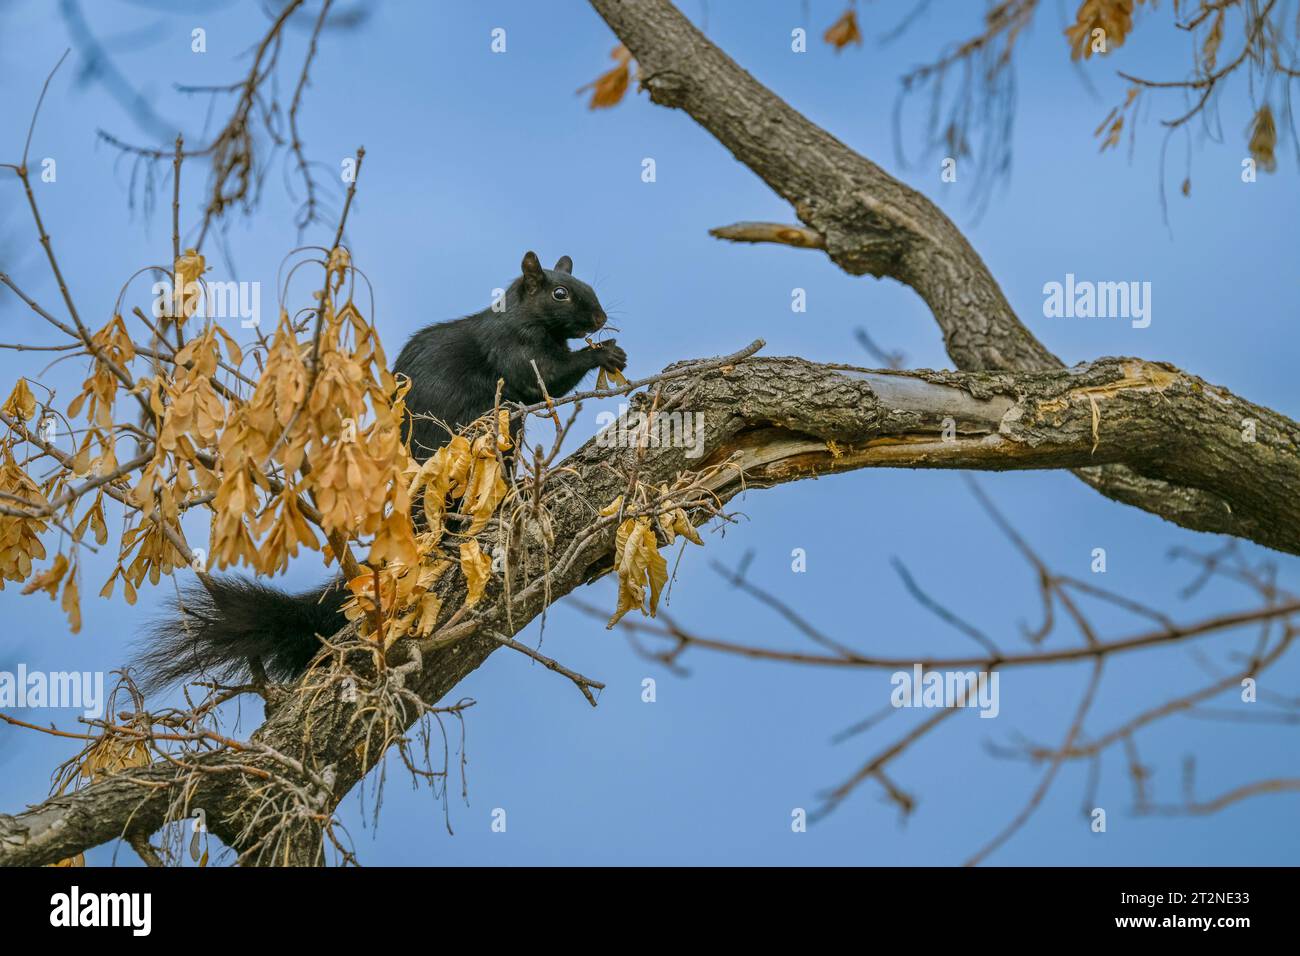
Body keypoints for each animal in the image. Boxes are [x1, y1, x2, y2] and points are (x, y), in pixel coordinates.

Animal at [131, 251, 624, 691]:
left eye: (589, 287)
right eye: (560, 293)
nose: (600, 317)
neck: (524, 318)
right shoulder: (513, 349)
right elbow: (544, 377)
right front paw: (603, 355)